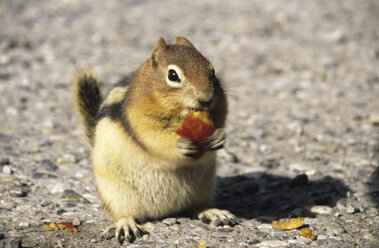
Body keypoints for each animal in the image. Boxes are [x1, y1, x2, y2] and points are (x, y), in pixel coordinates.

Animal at [72, 36, 236, 242]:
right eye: (173, 75)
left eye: (212, 71)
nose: (205, 99)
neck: (179, 112)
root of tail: (165, 211)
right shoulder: (140, 118)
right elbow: (153, 136)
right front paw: (180, 144)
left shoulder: (220, 104)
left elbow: (221, 118)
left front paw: (219, 136)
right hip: (116, 193)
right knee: (122, 213)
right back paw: (127, 225)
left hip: (204, 187)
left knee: (198, 206)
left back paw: (214, 212)